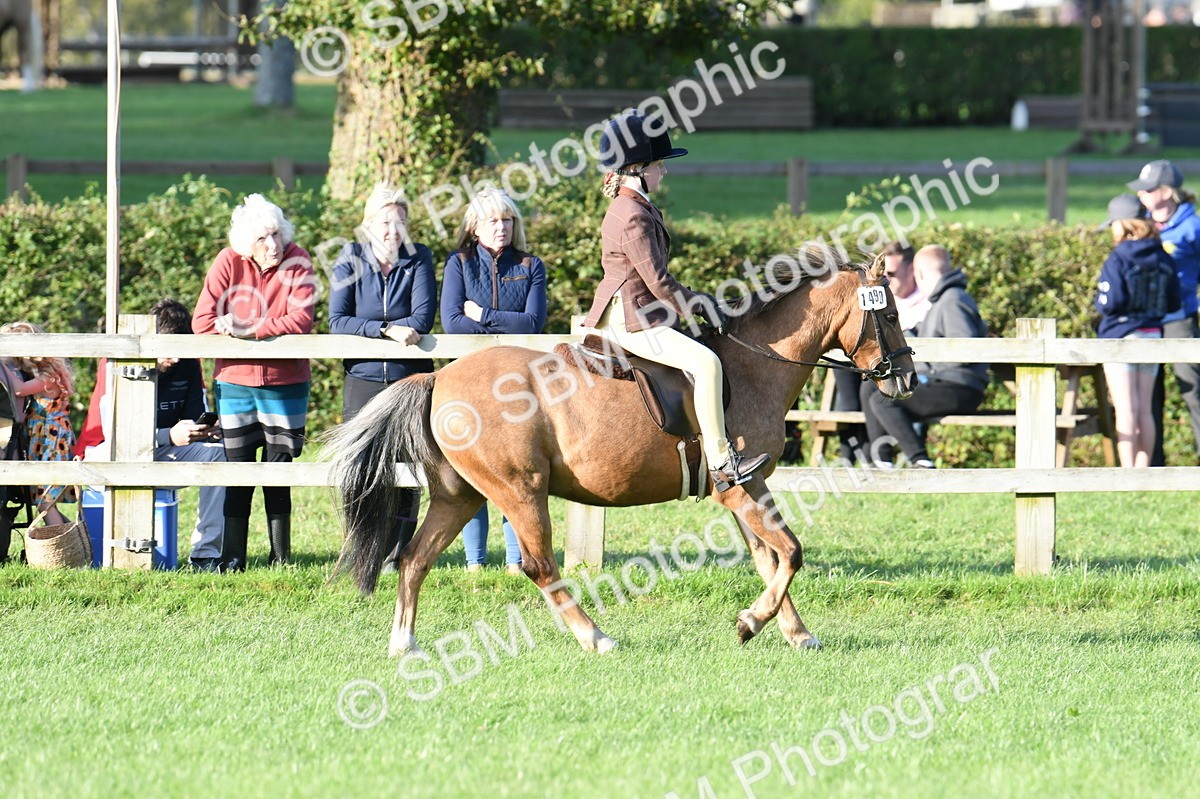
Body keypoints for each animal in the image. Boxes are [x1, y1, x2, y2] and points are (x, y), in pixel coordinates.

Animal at [326, 249, 916, 656]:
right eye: (888, 317)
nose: (907, 379)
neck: (755, 366)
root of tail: (440, 376)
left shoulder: (749, 486)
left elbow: (768, 556)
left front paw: (792, 632)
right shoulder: (739, 487)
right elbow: (790, 551)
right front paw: (753, 622)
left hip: (461, 495)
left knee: (414, 558)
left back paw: (404, 644)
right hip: (519, 489)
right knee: (539, 565)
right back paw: (596, 637)